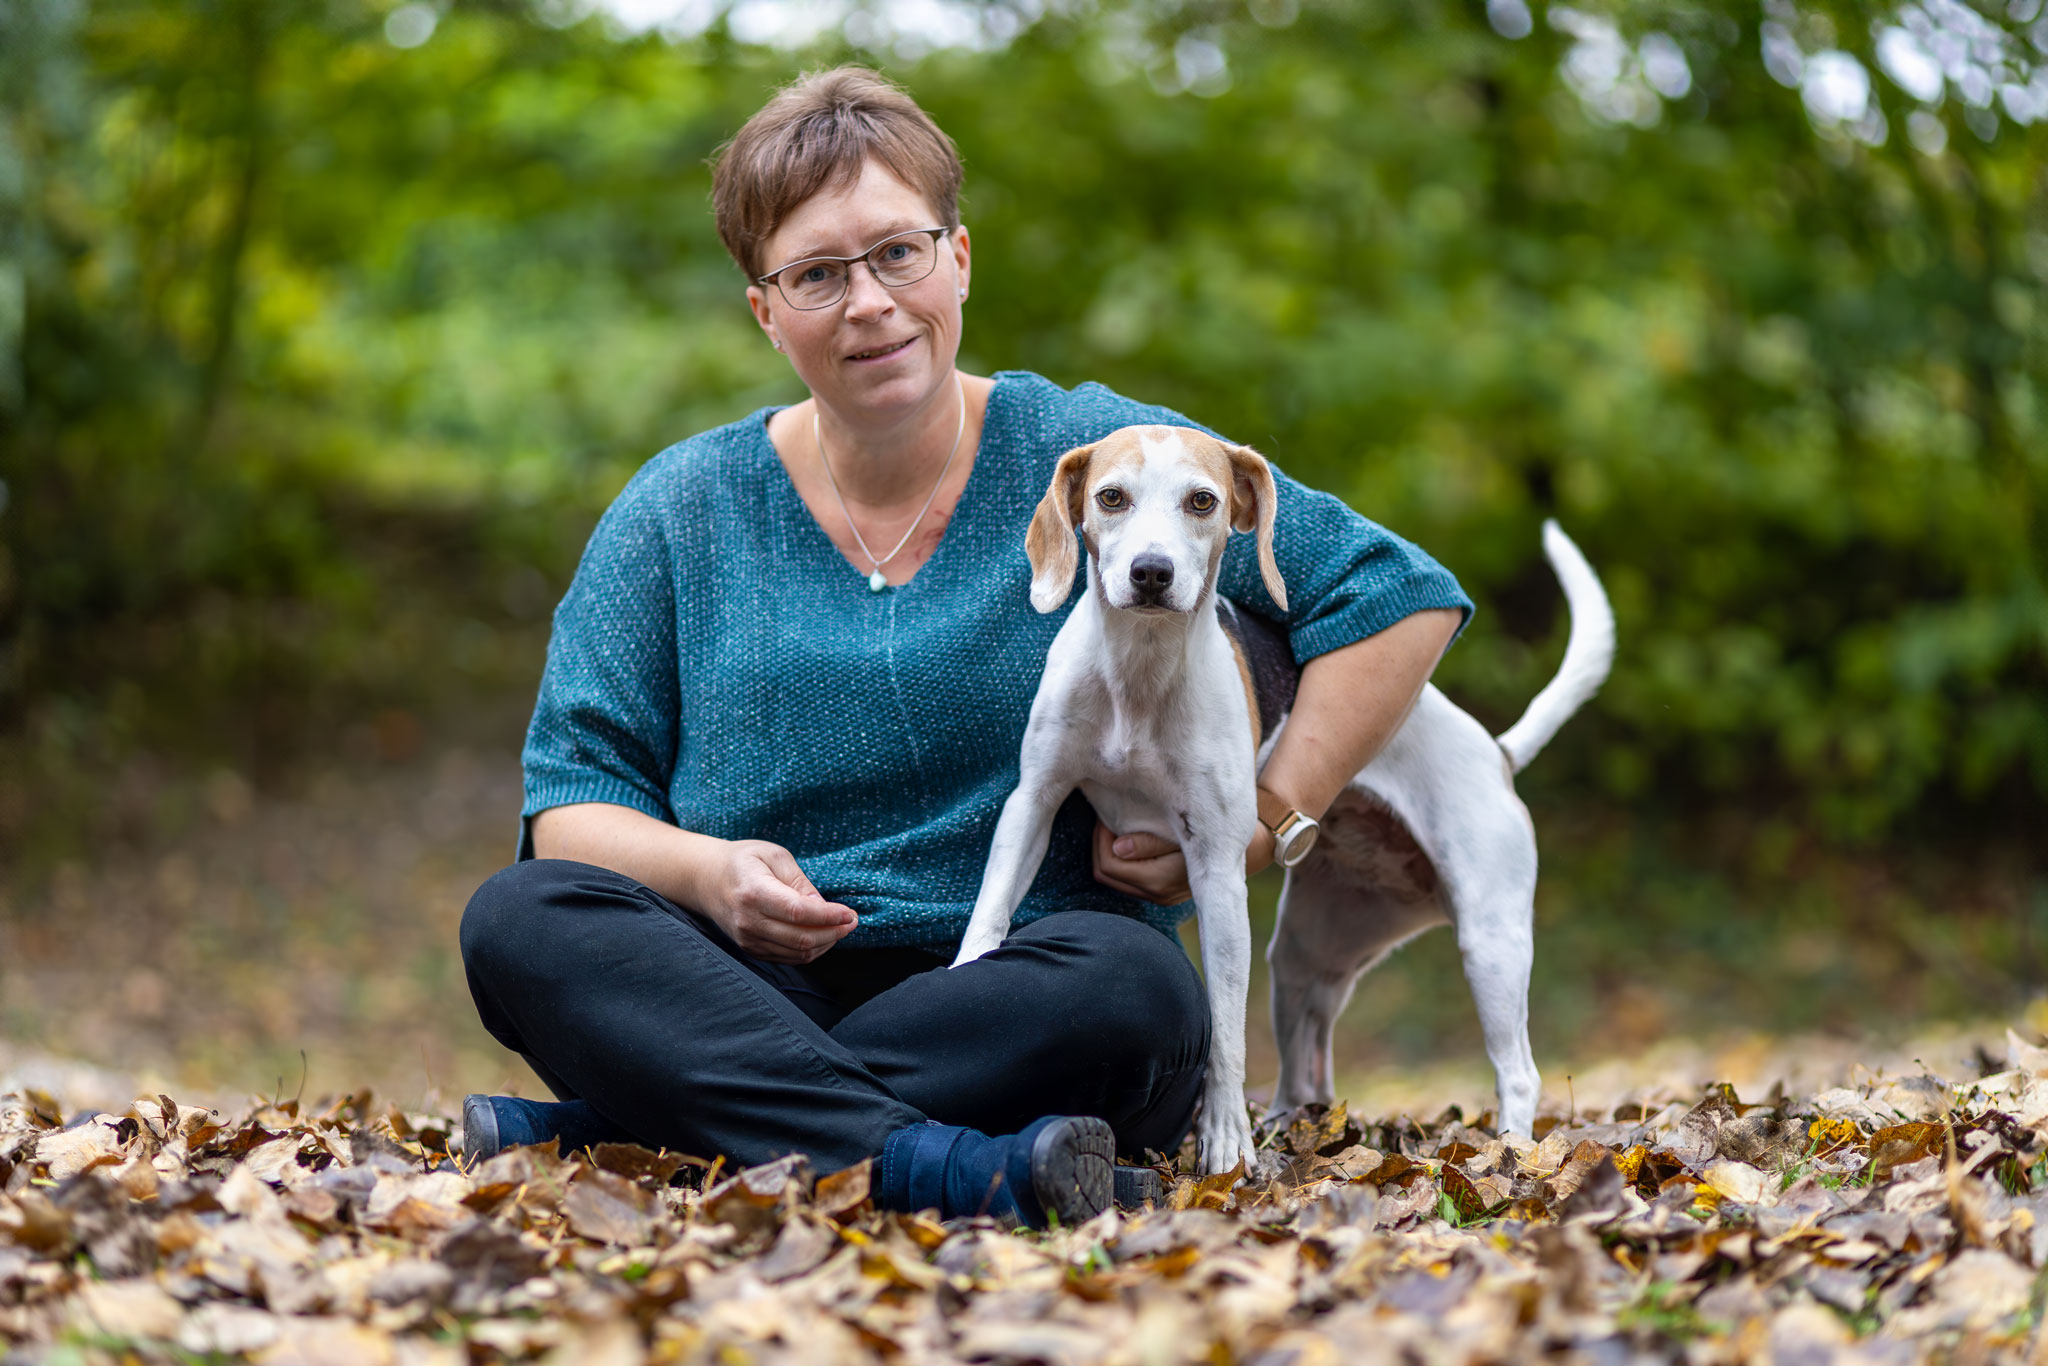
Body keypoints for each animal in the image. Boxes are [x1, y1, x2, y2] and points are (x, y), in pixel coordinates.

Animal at [958, 428, 1613, 1179]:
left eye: (1202, 501)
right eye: (1111, 497)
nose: (1151, 572)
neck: (1140, 672)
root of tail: (1497, 753)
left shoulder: (1216, 869)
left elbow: (1225, 1035)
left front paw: (1223, 1144)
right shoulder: (1032, 803)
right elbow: (989, 914)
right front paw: (963, 980)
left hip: (1491, 940)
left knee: (1519, 1071)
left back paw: (1506, 1153)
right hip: (1306, 953)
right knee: (1307, 1073)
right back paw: (1291, 1125)